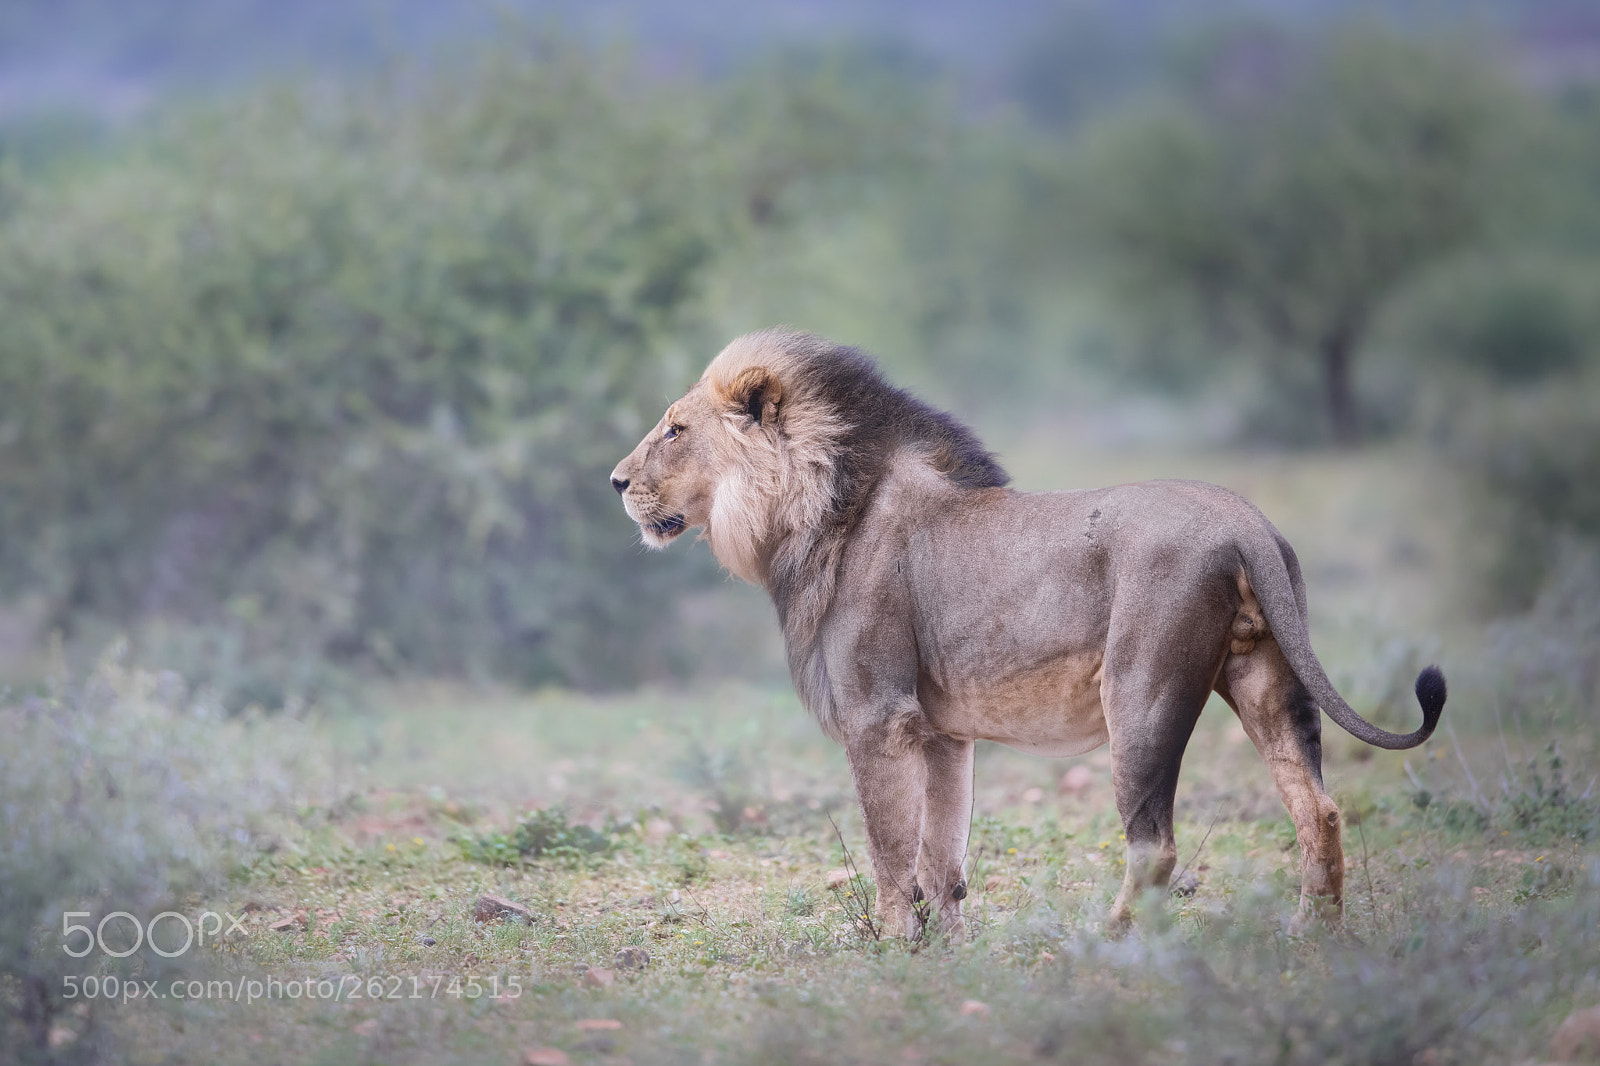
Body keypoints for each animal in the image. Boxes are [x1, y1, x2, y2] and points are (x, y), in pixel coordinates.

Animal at [610, 328, 1446, 939]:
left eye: (675, 430)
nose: (615, 482)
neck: (813, 509)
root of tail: (1249, 522)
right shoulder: (943, 733)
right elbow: (940, 858)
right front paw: (947, 953)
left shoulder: (879, 717)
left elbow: (889, 854)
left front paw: (892, 952)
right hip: (1266, 679)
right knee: (1318, 811)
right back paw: (1313, 935)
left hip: (1140, 693)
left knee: (1155, 846)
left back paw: (1103, 944)